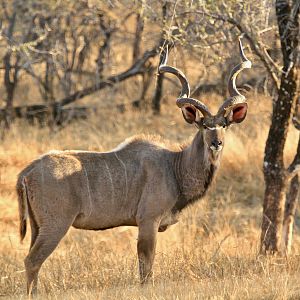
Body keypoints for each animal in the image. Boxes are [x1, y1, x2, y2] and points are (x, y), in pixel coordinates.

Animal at [16, 38, 251, 296]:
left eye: (224, 125)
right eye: (204, 126)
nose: (216, 143)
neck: (174, 166)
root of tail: (27, 172)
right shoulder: (148, 221)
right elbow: (146, 268)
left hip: (38, 226)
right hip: (55, 225)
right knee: (32, 260)